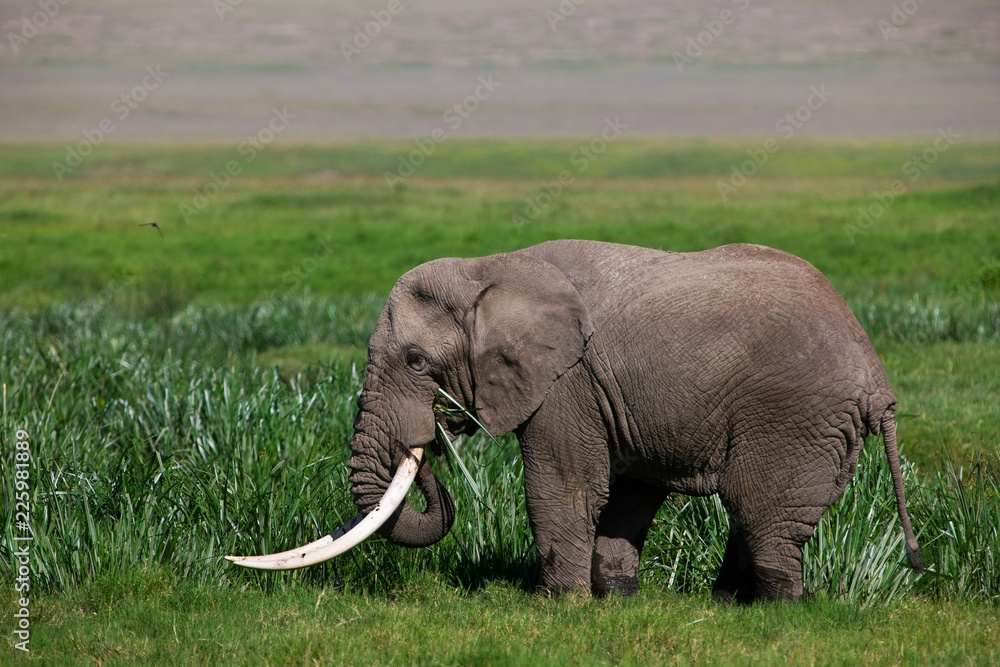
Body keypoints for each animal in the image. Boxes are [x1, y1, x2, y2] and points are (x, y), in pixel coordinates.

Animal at [229, 241, 920, 604]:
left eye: (417, 362)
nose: (434, 436)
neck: (492, 269)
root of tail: (877, 380)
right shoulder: (612, 394)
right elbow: (626, 494)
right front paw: (616, 600)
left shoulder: (568, 383)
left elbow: (564, 486)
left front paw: (558, 607)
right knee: (754, 517)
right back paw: (728, 606)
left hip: (795, 418)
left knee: (763, 515)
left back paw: (777, 612)